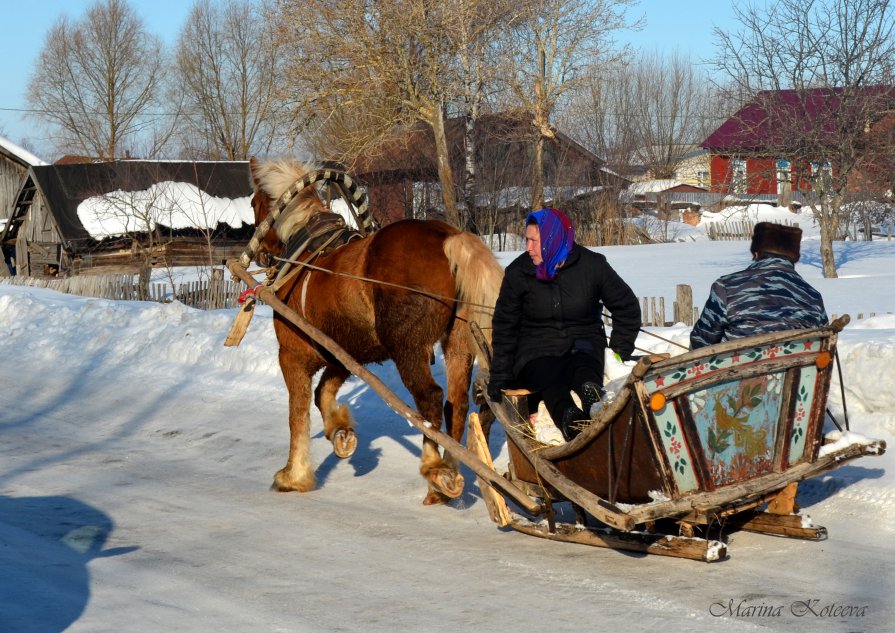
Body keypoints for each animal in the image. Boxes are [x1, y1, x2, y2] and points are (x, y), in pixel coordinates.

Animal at [247, 158, 504, 504]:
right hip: (458, 343)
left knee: (430, 400)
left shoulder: (292, 356)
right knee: (457, 403)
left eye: (253, 203)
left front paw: (293, 475)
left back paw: (435, 469)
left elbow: (297, 415)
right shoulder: (343, 354)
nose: (261, 252)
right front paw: (341, 433)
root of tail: (449, 237)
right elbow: (322, 393)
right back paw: (448, 474)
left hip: (408, 348)